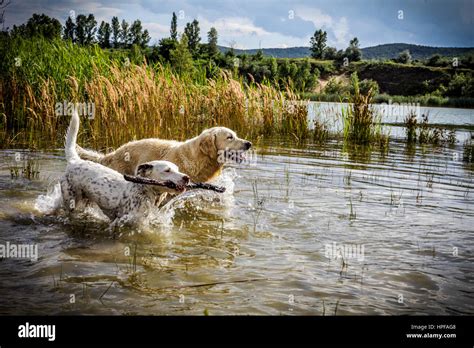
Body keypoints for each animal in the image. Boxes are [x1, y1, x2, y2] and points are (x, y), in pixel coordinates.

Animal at [60, 110, 190, 222]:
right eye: (167, 170)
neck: (143, 190)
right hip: (71, 200)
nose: (186, 178)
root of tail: (75, 161)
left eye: (178, 169)